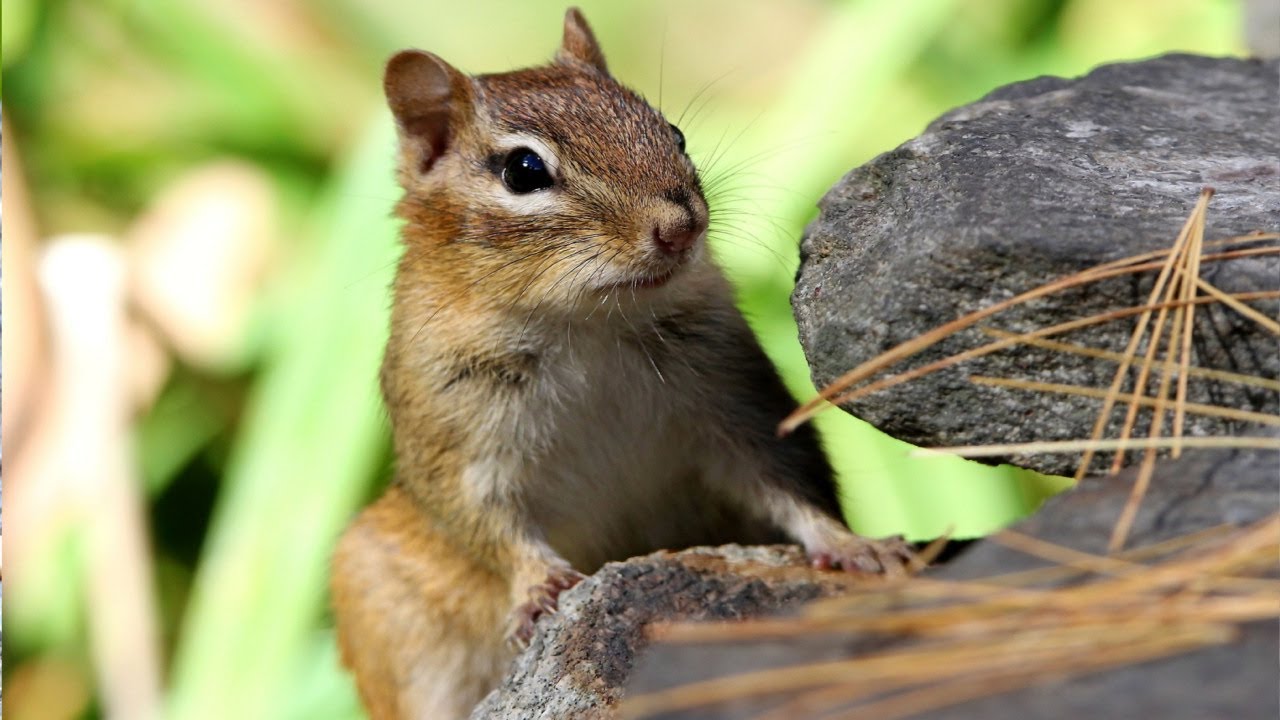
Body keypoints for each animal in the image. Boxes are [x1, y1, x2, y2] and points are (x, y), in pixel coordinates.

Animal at [330, 8, 914, 719]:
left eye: (675, 133)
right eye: (522, 170)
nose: (681, 225)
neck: (585, 328)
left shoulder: (735, 400)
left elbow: (788, 480)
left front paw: (853, 545)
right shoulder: (453, 433)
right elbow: (481, 519)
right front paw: (537, 584)